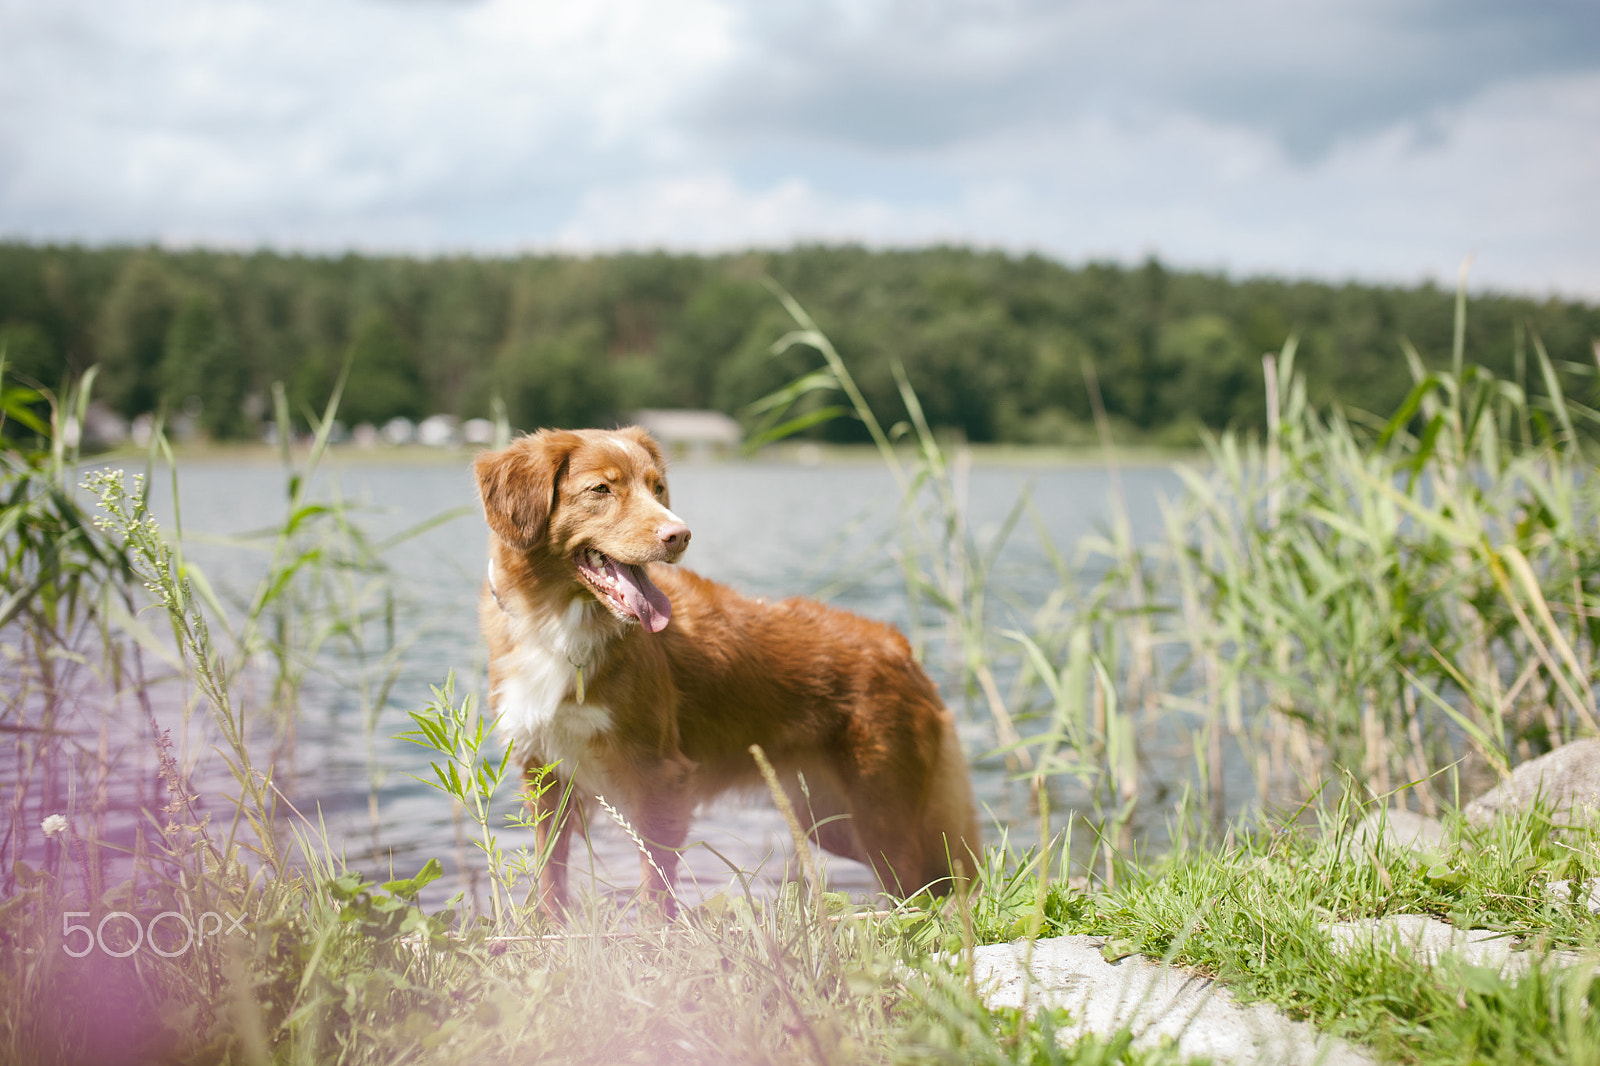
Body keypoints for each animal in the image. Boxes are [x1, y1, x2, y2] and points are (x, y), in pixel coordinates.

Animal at [473, 422, 972, 915]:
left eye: (657, 488)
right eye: (600, 489)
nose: (679, 535)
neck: (558, 623)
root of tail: (900, 647)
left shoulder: (662, 777)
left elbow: (655, 892)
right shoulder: (544, 773)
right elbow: (549, 880)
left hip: (882, 817)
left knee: (925, 890)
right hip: (834, 822)